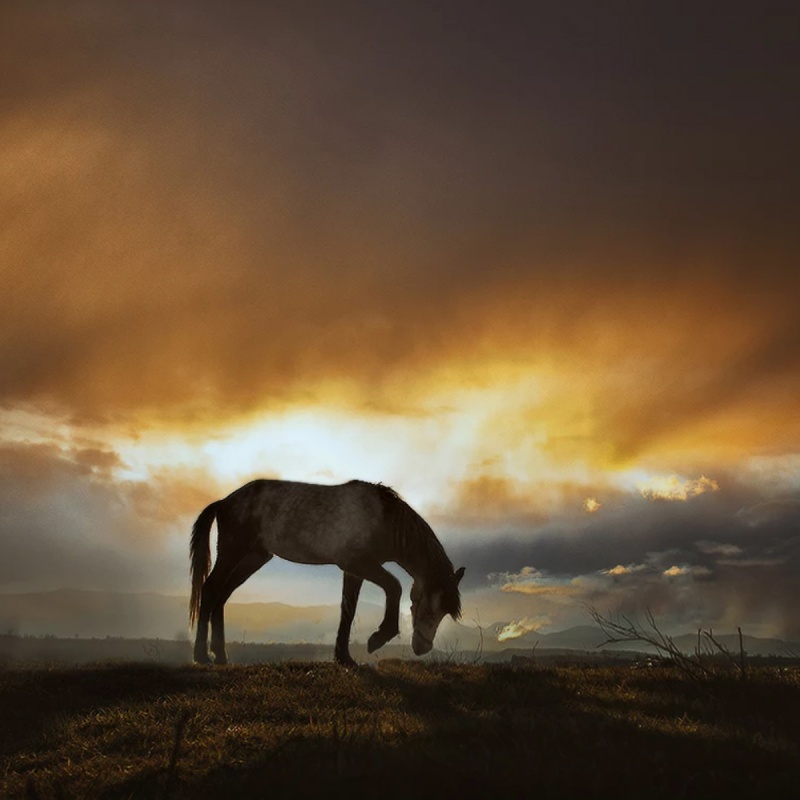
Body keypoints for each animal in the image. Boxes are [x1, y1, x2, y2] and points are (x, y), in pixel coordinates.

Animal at [191, 478, 466, 664]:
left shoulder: (354, 571)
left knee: (222, 596)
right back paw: (202, 656)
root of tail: (224, 502)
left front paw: (344, 657)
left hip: (253, 558)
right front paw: (378, 638)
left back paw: (220, 655)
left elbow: (348, 610)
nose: (422, 648)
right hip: (232, 552)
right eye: (427, 608)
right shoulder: (357, 563)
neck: (383, 518)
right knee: (210, 589)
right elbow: (393, 586)